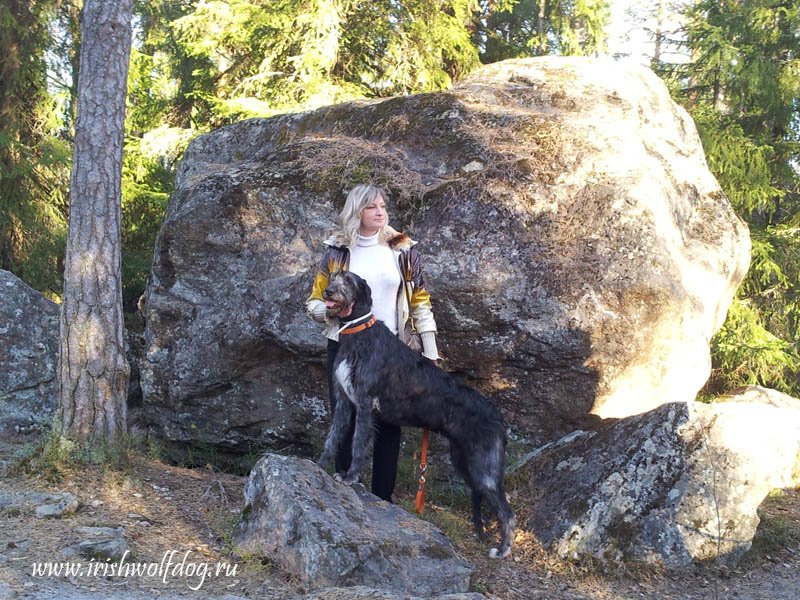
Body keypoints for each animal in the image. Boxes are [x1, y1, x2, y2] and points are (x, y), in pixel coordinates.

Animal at [316, 272, 516, 556]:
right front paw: (320, 466)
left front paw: (350, 476)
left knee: (507, 511)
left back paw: (502, 549)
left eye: (349, 281)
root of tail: (499, 419)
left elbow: (357, 444)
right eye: (333, 276)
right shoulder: (344, 401)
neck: (358, 332)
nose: (329, 292)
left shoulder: (365, 404)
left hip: (484, 466)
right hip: (464, 461)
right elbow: (332, 438)